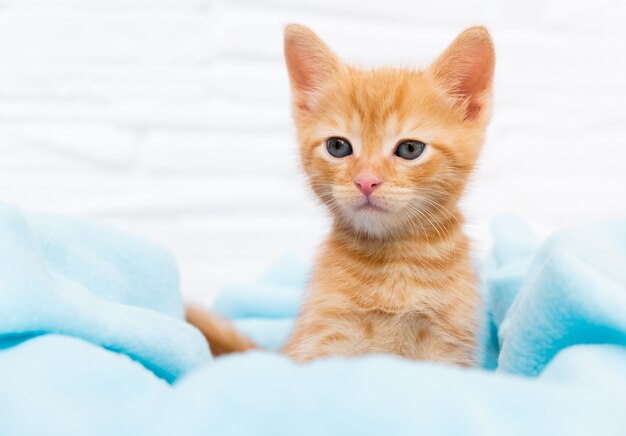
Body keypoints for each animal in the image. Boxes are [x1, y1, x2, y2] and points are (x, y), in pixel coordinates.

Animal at [185, 23, 492, 364]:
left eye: (410, 149)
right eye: (338, 147)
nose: (366, 181)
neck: (394, 264)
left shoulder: (447, 348)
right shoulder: (322, 339)